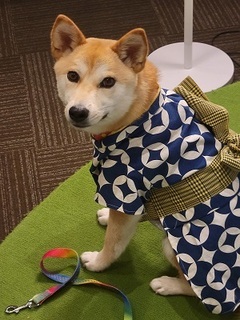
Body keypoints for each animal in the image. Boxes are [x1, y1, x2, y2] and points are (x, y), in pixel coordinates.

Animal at [51, 13, 240, 314]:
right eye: (72, 76)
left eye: (108, 82)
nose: (78, 112)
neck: (135, 117)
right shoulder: (129, 199)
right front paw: (107, 216)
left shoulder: (125, 189)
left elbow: (114, 243)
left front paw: (99, 262)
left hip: (177, 248)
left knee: (202, 294)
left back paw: (167, 284)